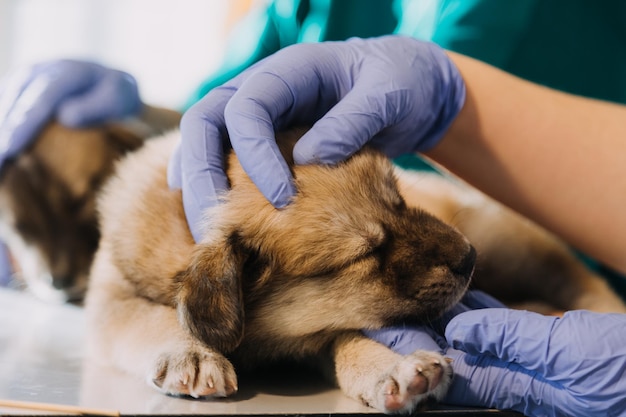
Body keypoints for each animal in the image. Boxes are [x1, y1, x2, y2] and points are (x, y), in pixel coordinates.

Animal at [84, 127, 624, 412]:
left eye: (399, 199)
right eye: (367, 252)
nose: (468, 258)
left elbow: (354, 339)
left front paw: (394, 368)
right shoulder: (111, 300)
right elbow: (153, 316)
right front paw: (191, 354)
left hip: (507, 238)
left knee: (582, 278)